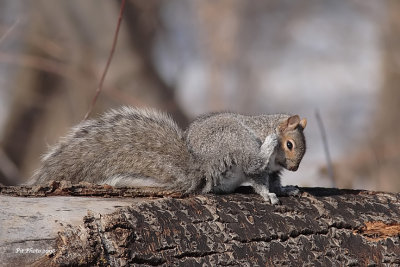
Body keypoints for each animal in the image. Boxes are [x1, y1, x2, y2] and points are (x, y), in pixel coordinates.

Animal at [30, 108, 306, 204]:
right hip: (235, 139)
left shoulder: (274, 170)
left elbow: (275, 181)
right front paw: (268, 194)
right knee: (251, 160)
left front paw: (285, 189)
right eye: (290, 144)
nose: (294, 169)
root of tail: (201, 166)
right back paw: (266, 144)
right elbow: (258, 177)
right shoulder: (260, 166)